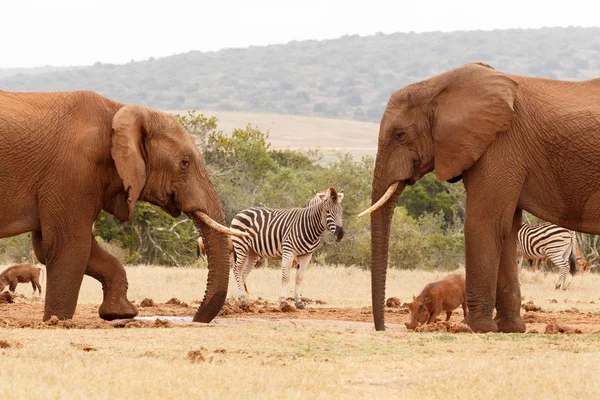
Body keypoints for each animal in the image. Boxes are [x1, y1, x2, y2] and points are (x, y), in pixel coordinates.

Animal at [0, 90, 245, 322]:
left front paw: (118, 313)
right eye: (184, 163)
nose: (195, 319)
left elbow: (54, 248)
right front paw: (57, 321)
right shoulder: (72, 173)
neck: (119, 111)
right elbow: (68, 245)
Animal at [360, 61, 600, 332]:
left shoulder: (499, 145)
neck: (438, 87)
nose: (382, 327)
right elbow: (506, 230)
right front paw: (509, 329)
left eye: (399, 135)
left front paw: (472, 327)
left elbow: (484, 223)